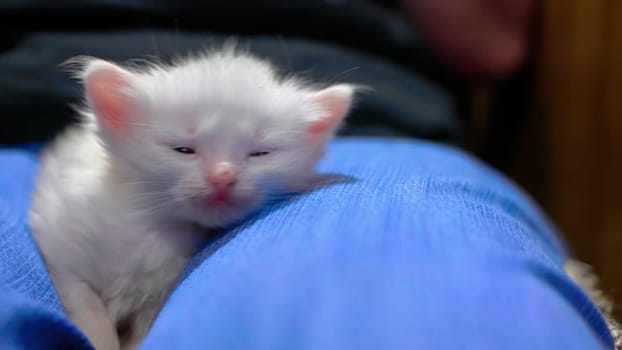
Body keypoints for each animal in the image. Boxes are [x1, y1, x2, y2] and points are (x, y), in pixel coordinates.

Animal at [29, 48, 358, 350]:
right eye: (183, 150)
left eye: (260, 153)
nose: (223, 176)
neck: (153, 223)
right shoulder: (62, 246)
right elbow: (85, 308)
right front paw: (99, 340)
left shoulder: (158, 295)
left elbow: (143, 327)